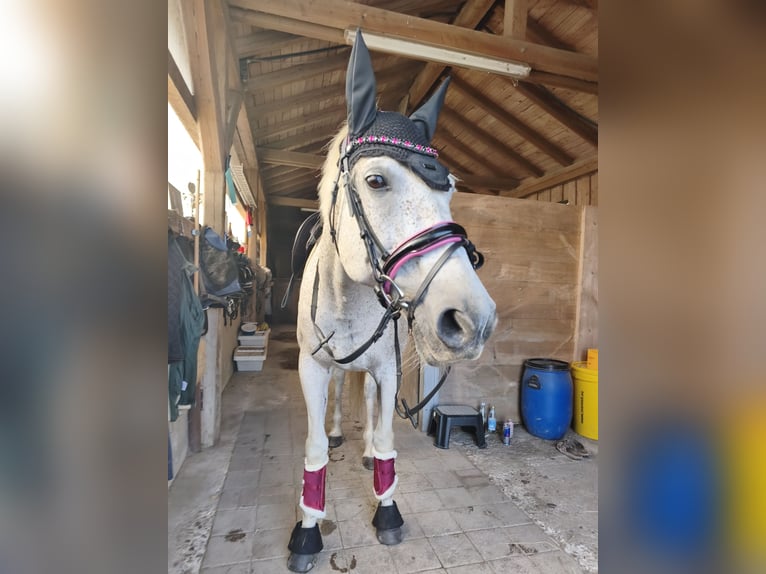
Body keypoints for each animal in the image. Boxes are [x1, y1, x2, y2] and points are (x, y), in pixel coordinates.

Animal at [286, 30, 497, 572]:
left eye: (450, 190)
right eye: (376, 180)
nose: (474, 320)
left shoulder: (387, 368)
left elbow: (384, 436)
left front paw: (387, 511)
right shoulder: (311, 367)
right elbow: (313, 447)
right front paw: (307, 530)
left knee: (367, 400)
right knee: (343, 391)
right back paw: (340, 432)